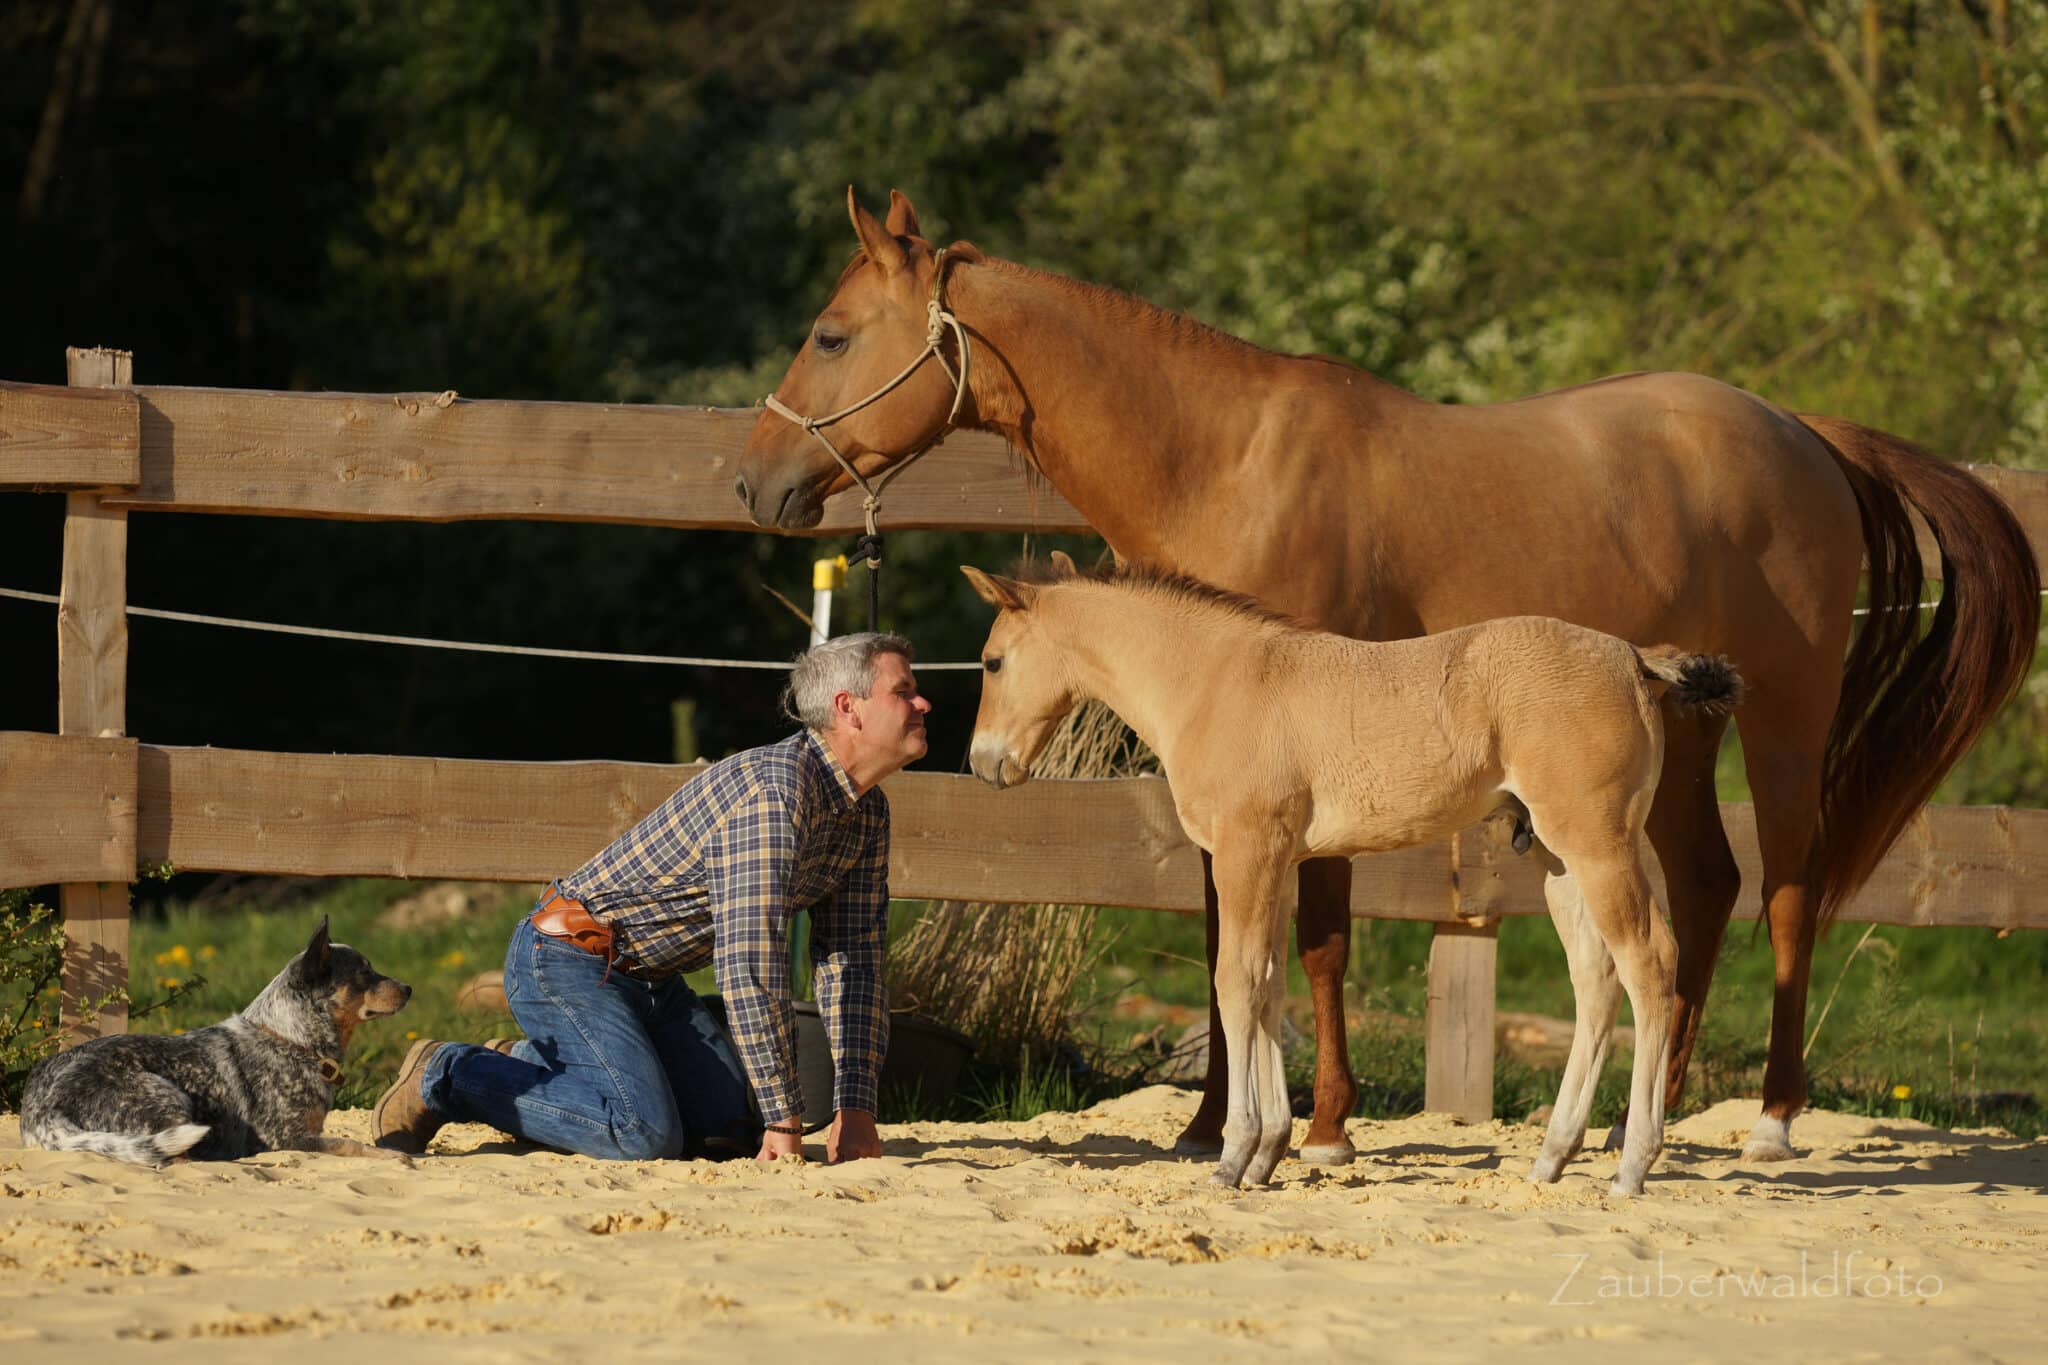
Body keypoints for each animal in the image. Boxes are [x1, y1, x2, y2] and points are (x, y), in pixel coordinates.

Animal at [21, 917, 412, 1166]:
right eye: (364, 972)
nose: (409, 988)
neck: (292, 1039)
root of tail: (45, 1112)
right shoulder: (287, 1136)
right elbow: (350, 1144)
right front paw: (394, 1156)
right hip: (168, 1097)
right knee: (172, 1159)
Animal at [962, 555, 1743, 1194]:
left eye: (992, 662)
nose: (983, 763)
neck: (1213, 681)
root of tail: (1636, 659)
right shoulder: (1278, 860)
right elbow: (1268, 983)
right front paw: (1269, 1151)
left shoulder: (1246, 853)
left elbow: (1234, 984)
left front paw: (1233, 1155)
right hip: (1557, 857)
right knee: (1595, 978)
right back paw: (1551, 1158)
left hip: (1598, 844)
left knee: (1650, 962)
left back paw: (1632, 1165)